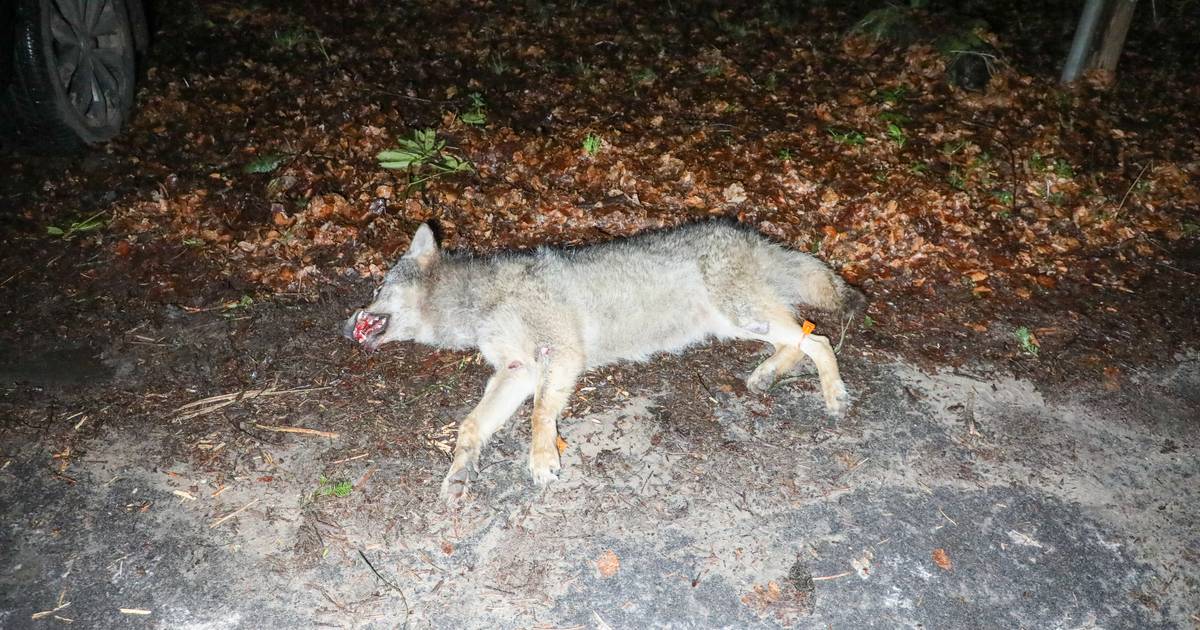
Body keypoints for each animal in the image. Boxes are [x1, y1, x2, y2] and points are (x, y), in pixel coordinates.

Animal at [343, 221, 865, 501]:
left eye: (378, 288)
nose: (349, 323)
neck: (477, 303)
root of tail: (748, 235)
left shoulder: (559, 355)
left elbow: (539, 415)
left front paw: (542, 460)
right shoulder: (517, 371)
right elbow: (470, 427)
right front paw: (458, 473)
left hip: (741, 315)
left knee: (817, 340)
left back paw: (833, 395)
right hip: (736, 323)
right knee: (798, 339)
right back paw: (766, 375)